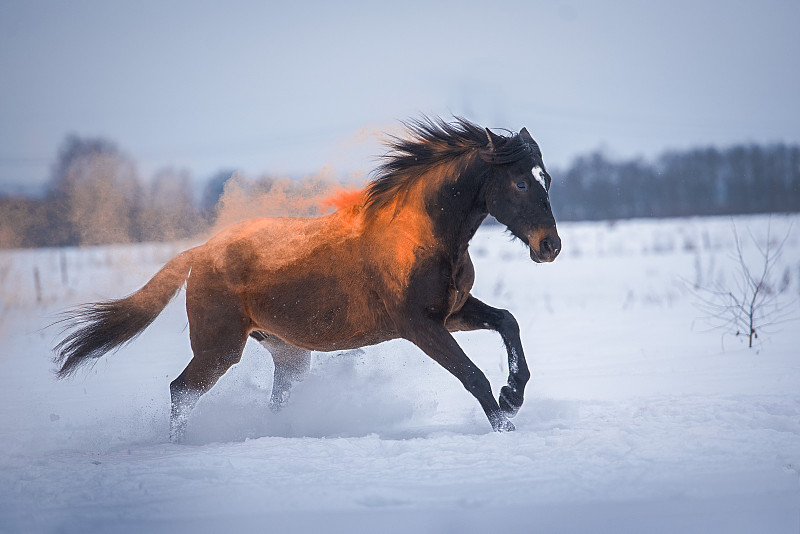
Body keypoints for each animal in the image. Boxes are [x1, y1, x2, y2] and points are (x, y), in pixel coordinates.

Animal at [53, 119, 560, 442]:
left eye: (547, 179)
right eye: (519, 183)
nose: (550, 246)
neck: (421, 235)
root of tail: (201, 252)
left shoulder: (452, 311)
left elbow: (508, 321)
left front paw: (513, 396)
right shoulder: (420, 326)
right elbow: (472, 375)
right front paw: (505, 425)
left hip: (288, 353)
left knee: (271, 399)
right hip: (219, 350)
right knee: (181, 391)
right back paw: (179, 446)